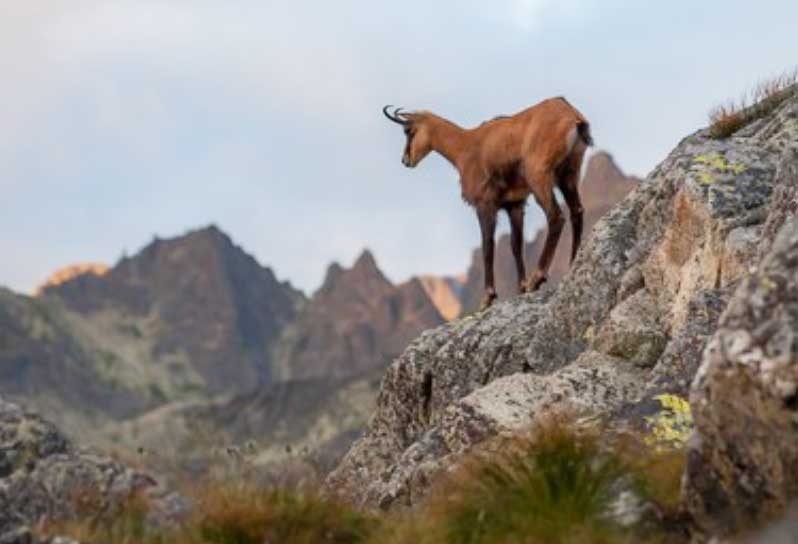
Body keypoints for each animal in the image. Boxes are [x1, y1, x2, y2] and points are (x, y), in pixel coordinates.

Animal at [384, 98, 596, 310]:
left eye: (408, 131)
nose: (406, 160)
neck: (466, 145)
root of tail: (572, 116)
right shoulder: (514, 205)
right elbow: (515, 244)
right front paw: (521, 288)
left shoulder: (485, 204)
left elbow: (488, 245)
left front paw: (488, 297)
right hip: (568, 176)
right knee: (577, 212)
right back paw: (572, 263)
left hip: (539, 178)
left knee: (556, 217)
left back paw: (537, 277)